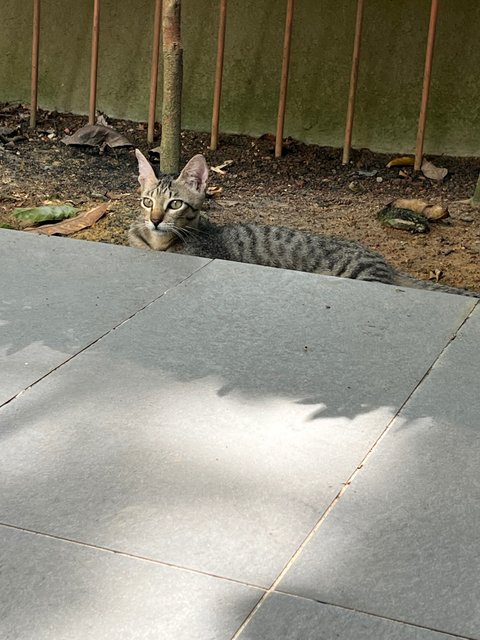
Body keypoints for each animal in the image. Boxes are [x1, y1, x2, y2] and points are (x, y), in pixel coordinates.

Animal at [128, 150, 480, 300]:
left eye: (175, 205)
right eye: (147, 202)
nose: (155, 220)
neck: (157, 244)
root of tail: (384, 261)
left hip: (360, 275)